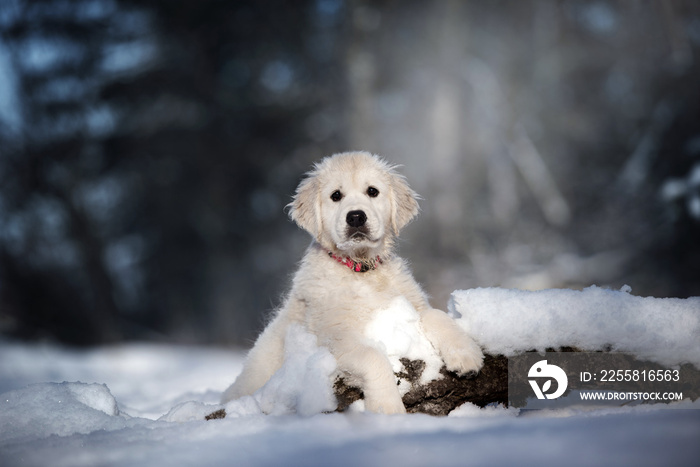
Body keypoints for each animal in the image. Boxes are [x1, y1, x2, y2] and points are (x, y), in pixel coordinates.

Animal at [221, 151, 484, 414]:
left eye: (372, 191)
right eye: (336, 195)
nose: (356, 216)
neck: (360, 269)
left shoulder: (411, 305)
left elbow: (437, 316)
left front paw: (465, 354)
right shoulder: (333, 337)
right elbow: (373, 357)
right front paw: (387, 408)